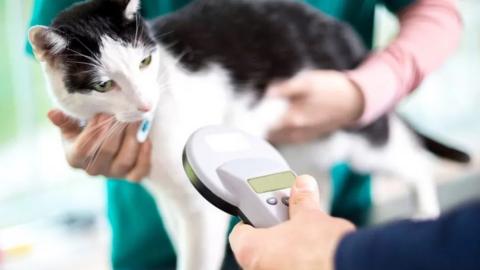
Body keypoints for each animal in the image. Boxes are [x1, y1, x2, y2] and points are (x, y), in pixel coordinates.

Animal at [28, 0, 470, 270]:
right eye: (104, 85)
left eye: (145, 63)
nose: (146, 103)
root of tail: (341, 32)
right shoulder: (170, 197)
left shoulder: (199, 207)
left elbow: (197, 255)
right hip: (303, 146)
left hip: (354, 132)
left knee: (412, 159)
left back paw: (425, 212)